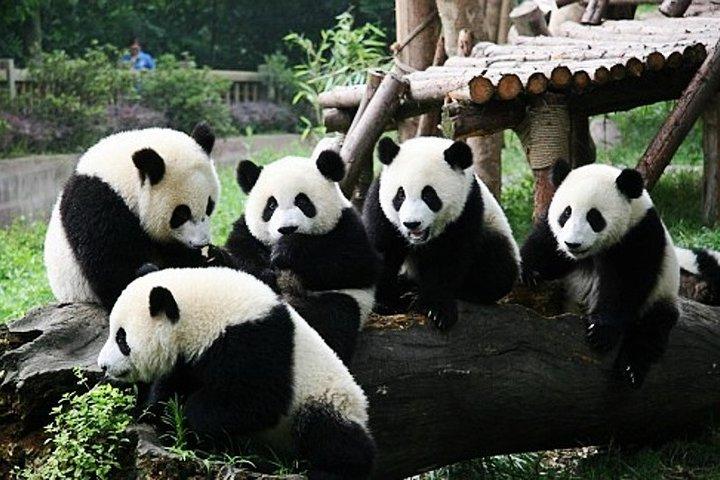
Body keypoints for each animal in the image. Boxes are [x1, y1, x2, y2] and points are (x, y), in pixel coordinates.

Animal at [97, 266, 375, 479]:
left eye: (121, 339)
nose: (103, 365)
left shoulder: (253, 341)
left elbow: (258, 402)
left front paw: (189, 420)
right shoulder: (189, 360)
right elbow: (171, 386)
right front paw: (155, 415)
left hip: (328, 400)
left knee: (331, 434)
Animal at [224, 149, 380, 363]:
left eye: (302, 201)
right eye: (271, 206)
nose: (287, 229)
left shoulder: (348, 226)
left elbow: (356, 264)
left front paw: (288, 250)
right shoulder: (247, 232)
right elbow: (239, 254)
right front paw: (267, 273)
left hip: (344, 301)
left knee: (332, 319)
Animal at [362, 136, 520, 330]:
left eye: (429, 195)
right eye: (400, 195)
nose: (412, 224)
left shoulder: (467, 206)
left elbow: (448, 258)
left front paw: (436, 310)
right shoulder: (379, 205)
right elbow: (383, 249)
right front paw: (385, 303)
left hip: (493, 229)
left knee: (497, 269)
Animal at [520, 160, 679, 388]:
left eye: (594, 217)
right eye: (566, 213)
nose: (572, 244)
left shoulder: (638, 235)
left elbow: (626, 285)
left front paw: (601, 330)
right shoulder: (554, 236)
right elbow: (545, 246)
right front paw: (528, 271)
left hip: (662, 293)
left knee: (652, 329)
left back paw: (631, 369)